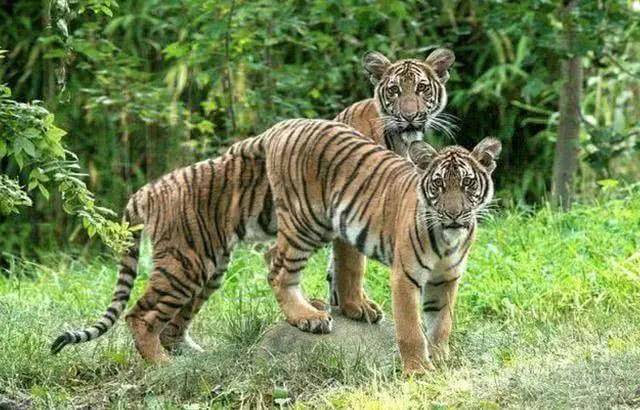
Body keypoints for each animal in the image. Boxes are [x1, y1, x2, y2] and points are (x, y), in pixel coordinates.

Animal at [262, 119, 500, 374]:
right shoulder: (405, 277)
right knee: (279, 270)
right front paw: (418, 370)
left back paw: (351, 307)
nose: (453, 214)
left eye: (468, 183)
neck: (448, 240)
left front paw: (441, 360)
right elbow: (410, 328)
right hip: (306, 222)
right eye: (438, 184)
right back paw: (309, 315)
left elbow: (441, 324)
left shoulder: (446, 278)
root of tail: (285, 124)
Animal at [328, 47, 456, 325]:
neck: (401, 142)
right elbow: (352, 262)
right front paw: (355, 306)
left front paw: (341, 302)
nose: (409, 116)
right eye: (394, 90)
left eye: (421, 88)